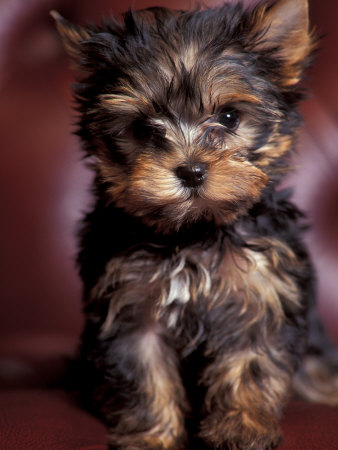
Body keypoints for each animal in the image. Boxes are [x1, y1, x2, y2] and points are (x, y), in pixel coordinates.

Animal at [52, 0, 338, 448]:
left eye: (229, 117)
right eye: (142, 128)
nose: (191, 170)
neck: (193, 233)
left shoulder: (259, 292)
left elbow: (250, 364)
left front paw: (241, 428)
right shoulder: (130, 302)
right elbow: (144, 372)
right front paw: (152, 436)